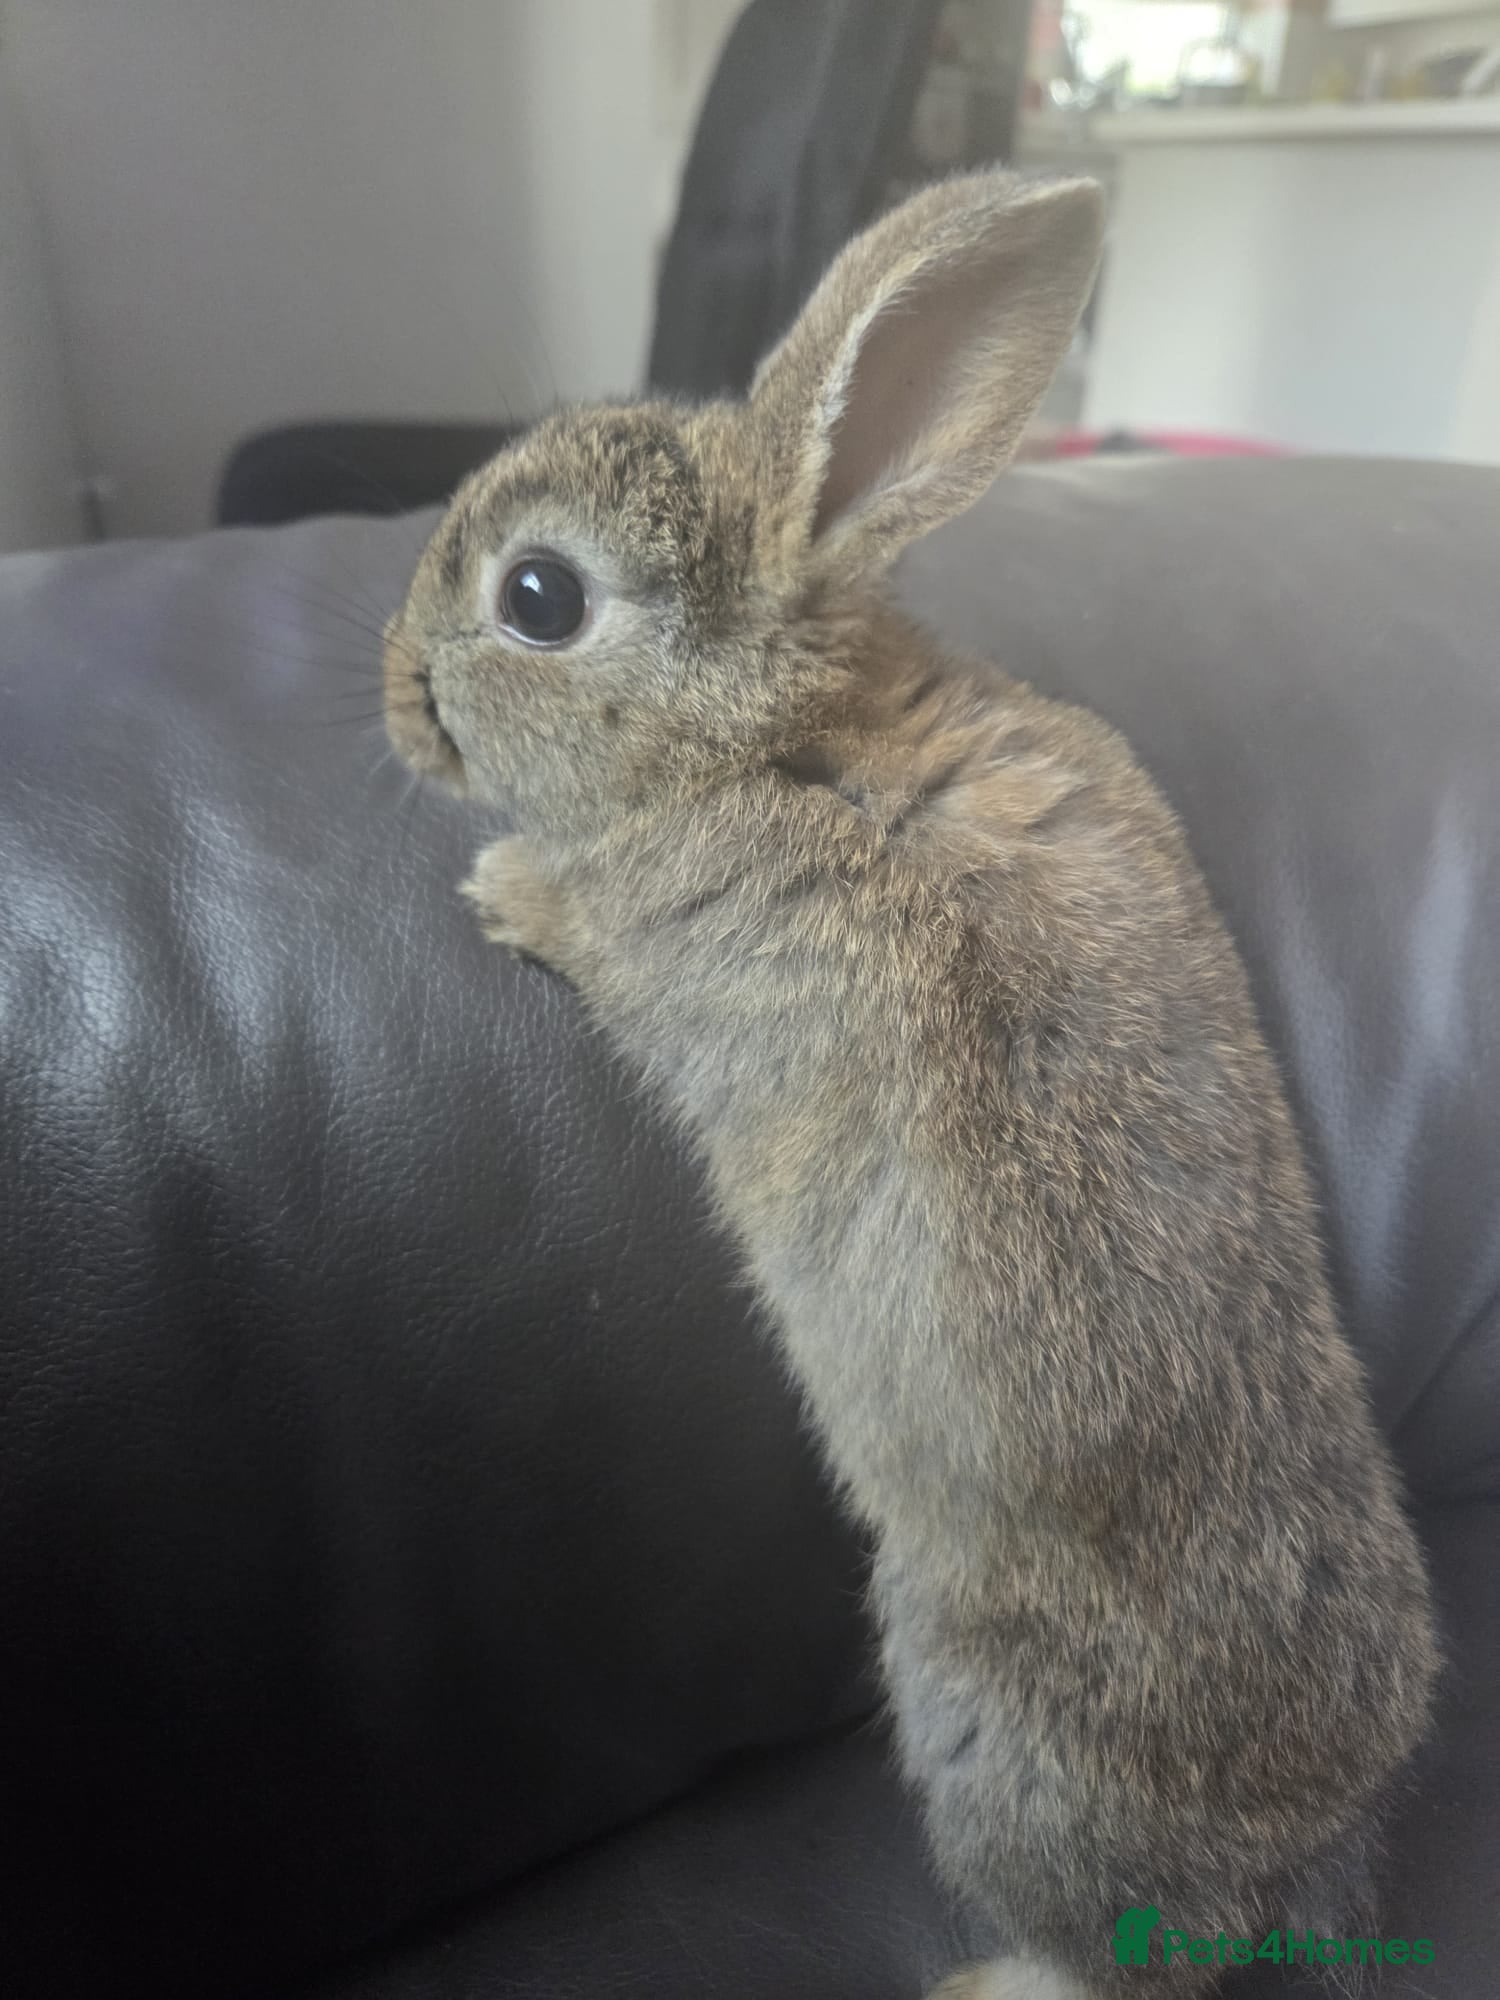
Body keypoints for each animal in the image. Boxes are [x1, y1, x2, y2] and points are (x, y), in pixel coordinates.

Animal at [382, 169, 1437, 1998]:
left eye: (538, 599)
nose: (390, 684)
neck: (772, 736)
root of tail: (1293, 1872)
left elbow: (586, 917)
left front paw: (506, 887)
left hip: (973, 1726)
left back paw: (980, 1973)